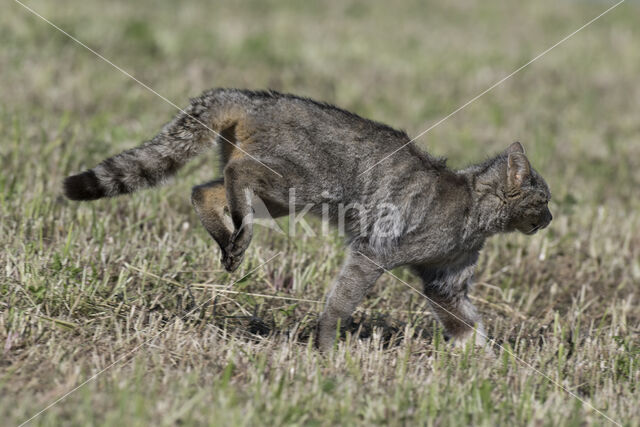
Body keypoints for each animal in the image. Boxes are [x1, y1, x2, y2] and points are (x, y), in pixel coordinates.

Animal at [66, 88, 556, 352]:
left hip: (277, 198)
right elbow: (340, 303)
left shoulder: (445, 283)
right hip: (298, 185)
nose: (551, 218)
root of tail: (254, 99)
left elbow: (469, 326)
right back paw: (238, 233)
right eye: (545, 199)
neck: (476, 212)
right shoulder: (374, 253)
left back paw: (229, 238)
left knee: (203, 189)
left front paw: (488, 362)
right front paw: (325, 348)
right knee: (235, 173)